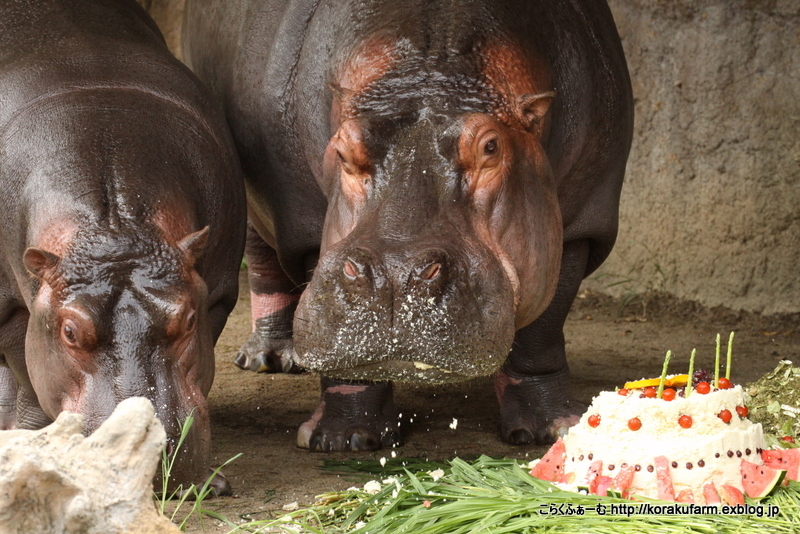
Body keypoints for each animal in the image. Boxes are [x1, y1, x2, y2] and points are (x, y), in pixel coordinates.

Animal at [0, 0, 247, 494]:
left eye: (189, 319)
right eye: (69, 332)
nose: (141, 449)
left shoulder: (218, 292)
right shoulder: (12, 310)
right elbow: (27, 375)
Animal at [184, 0, 636, 452]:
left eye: (491, 146)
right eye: (343, 149)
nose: (394, 276)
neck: (430, 72)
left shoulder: (579, 224)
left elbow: (542, 333)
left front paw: (553, 429)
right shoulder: (308, 225)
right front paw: (342, 439)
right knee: (262, 258)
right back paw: (269, 358)